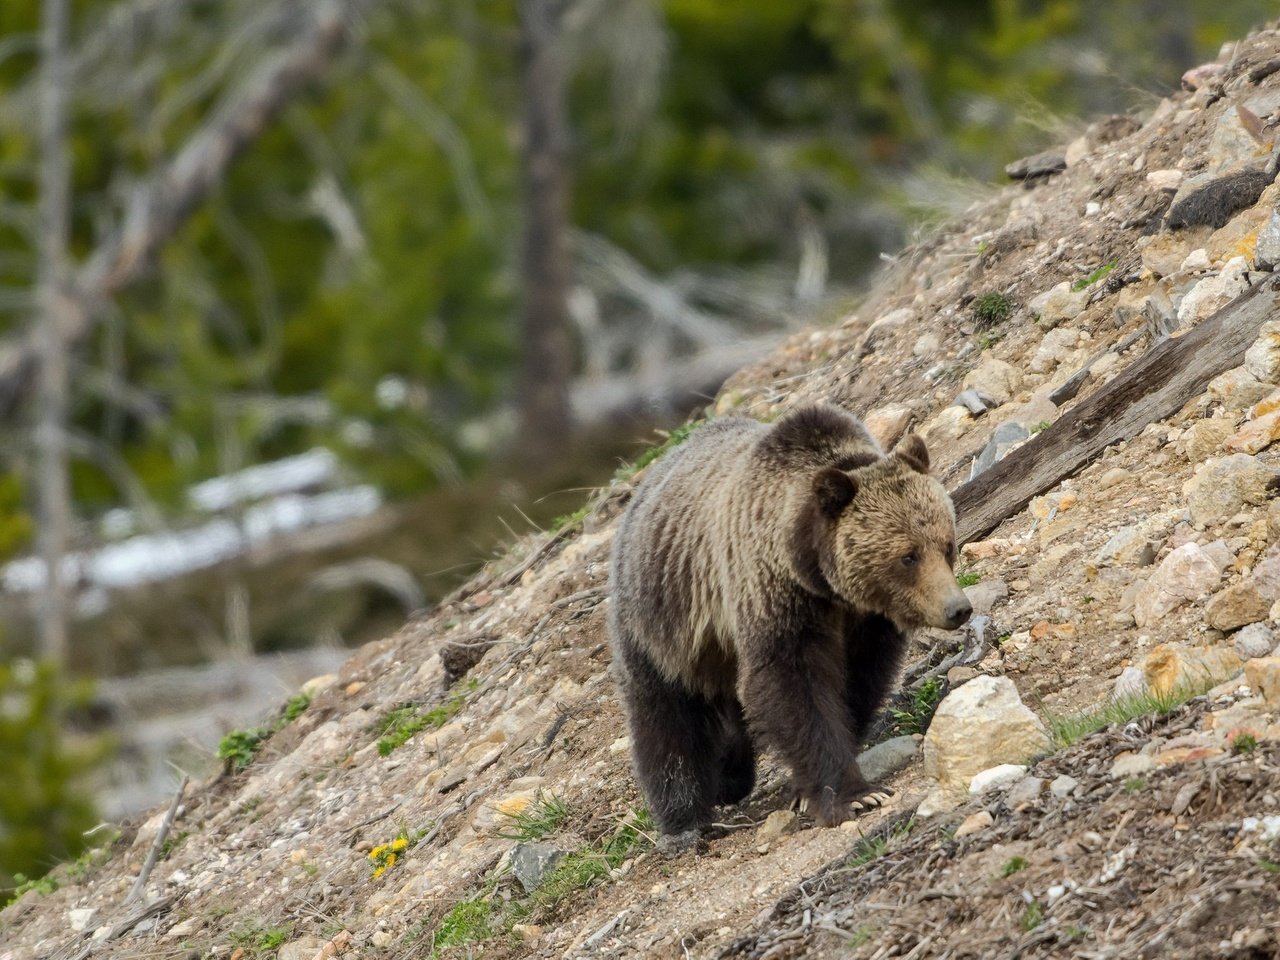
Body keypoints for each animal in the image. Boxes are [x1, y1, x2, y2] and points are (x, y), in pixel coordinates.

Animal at [609, 407, 967, 849]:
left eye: (946, 544)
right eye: (909, 556)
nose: (957, 608)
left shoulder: (866, 622)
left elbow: (858, 680)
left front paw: (809, 786)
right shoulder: (772, 594)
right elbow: (794, 687)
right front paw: (854, 796)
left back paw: (730, 774)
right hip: (662, 624)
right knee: (665, 719)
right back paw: (684, 818)